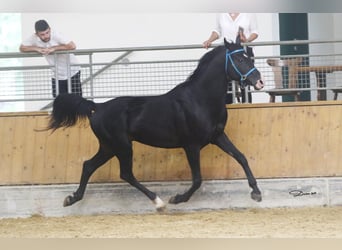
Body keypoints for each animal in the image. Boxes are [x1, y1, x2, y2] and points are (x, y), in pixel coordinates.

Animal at [46, 39, 264, 211]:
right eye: (240, 59)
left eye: (249, 57)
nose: (259, 81)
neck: (199, 99)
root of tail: (97, 107)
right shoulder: (191, 145)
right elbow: (197, 179)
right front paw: (177, 198)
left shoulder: (217, 136)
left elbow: (241, 157)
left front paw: (256, 192)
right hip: (122, 146)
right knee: (125, 173)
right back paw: (158, 201)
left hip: (109, 147)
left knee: (88, 166)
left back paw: (72, 198)